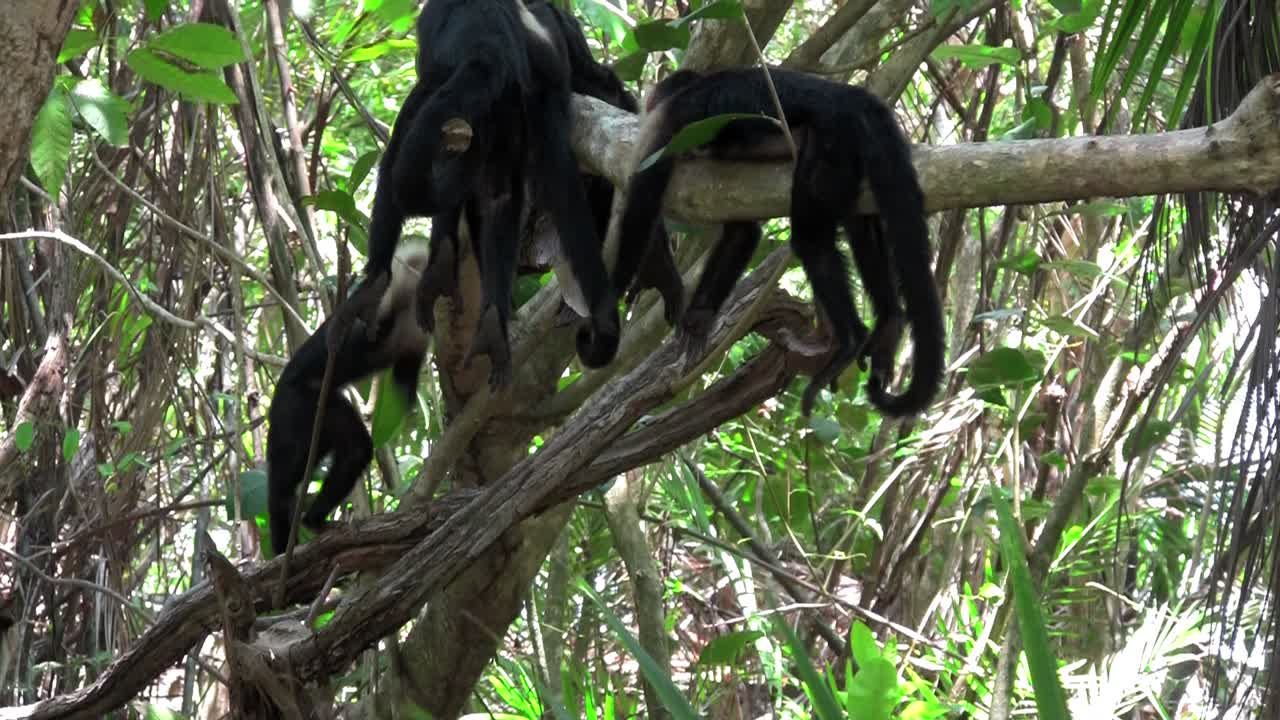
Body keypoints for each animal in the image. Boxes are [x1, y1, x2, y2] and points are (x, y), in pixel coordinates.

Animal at [266, 243, 432, 556]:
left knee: (352, 449)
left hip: (322, 415)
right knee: (284, 481)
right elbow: (359, 328)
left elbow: (404, 383)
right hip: (296, 408)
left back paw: (311, 522)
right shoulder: (386, 294)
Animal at [613, 66, 945, 417]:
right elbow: (742, 233)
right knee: (861, 226)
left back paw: (850, 341)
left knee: (812, 239)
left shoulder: (670, 119)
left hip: (832, 141)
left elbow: (641, 203)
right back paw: (889, 323)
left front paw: (624, 288)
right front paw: (698, 319)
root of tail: (854, 97)